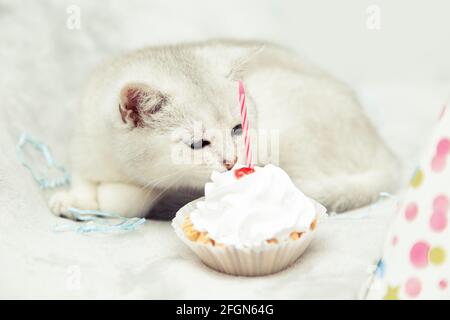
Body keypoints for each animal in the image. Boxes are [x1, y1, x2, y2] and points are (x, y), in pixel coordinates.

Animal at [51, 39, 400, 220]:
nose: (232, 161)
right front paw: (72, 198)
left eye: (237, 129)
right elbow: (81, 176)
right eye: (196, 144)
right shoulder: (83, 142)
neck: (117, 165)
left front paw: (101, 198)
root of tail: (385, 154)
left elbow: (123, 201)